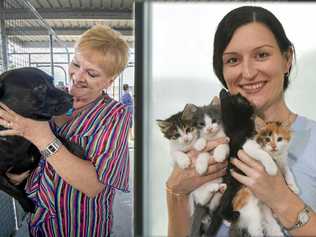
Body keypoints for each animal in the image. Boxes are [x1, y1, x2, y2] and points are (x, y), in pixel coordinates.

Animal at [0, 67, 82, 213]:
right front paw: (27, 204)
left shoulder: (36, 149)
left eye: (51, 81)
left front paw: (76, 149)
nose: (72, 98)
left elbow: (57, 139)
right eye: (40, 87)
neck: (18, 141)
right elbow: (13, 190)